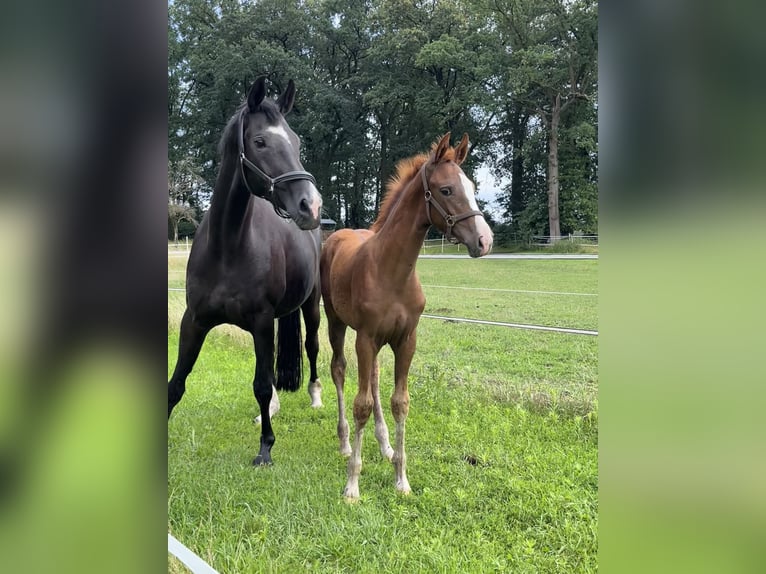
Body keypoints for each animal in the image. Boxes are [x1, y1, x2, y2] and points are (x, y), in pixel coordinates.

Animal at [168, 77, 324, 466]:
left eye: (296, 141)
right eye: (260, 142)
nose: (311, 205)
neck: (228, 246)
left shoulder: (261, 321)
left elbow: (261, 385)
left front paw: (265, 448)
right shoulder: (194, 321)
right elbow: (176, 382)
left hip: (311, 305)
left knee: (312, 346)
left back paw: (316, 396)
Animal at [320, 132, 494, 500]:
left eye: (473, 186)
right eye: (446, 190)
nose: (485, 240)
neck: (391, 272)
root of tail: (336, 235)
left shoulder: (405, 340)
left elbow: (399, 401)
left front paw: (401, 478)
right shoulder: (365, 337)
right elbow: (361, 404)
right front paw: (352, 485)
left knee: (372, 378)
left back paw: (384, 444)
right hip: (337, 323)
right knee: (339, 371)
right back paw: (345, 443)